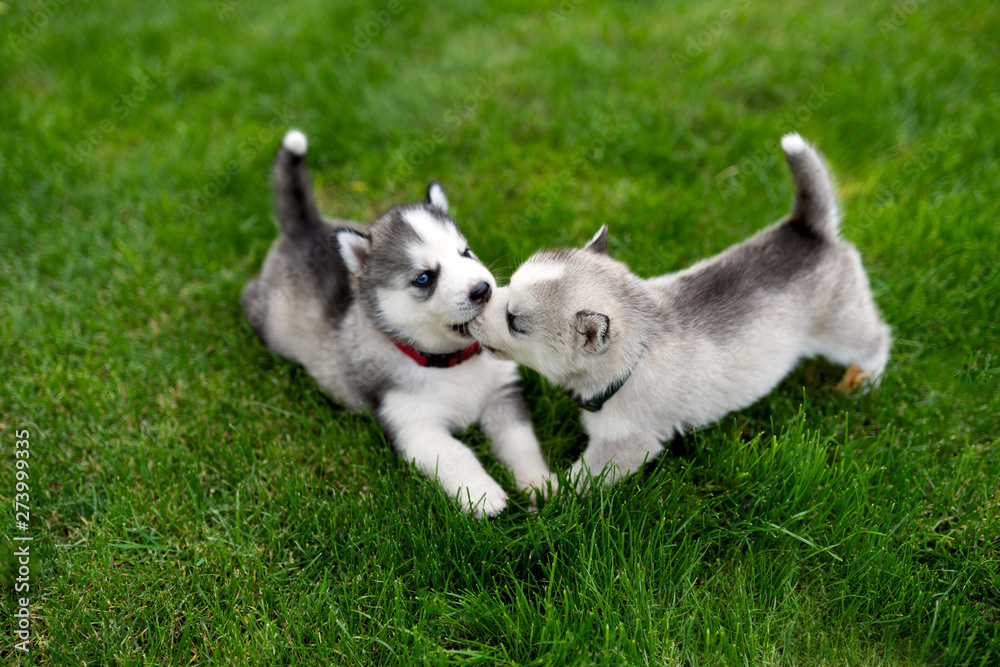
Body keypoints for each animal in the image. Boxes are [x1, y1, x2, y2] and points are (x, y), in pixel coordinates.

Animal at [244, 129, 556, 516]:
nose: (483, 290)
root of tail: (305, 227)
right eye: (424, 278)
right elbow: (456, 453)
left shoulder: (502, 395)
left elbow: (521, 442)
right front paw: (482, 495)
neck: (452, 363)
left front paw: (539, 483)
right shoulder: (412, 424)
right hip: (270, 322)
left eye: (465, 252)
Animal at [468, 134, 892, 490]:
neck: (638, 349)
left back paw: (866, 380)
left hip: (842, 330)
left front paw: (554, 495)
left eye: (514, 322)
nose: (474, 312)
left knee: (877, 339)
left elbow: (585, 476)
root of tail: (807, 230)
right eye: (506, 288)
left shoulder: (626, 444)